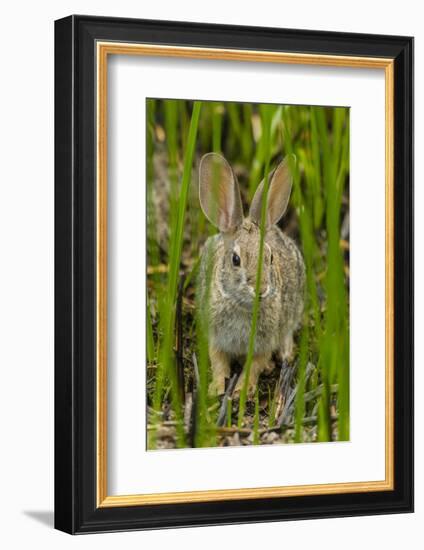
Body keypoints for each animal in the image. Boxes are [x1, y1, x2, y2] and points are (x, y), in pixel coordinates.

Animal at [195, 153, 304, 398]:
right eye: (236, 260)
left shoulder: (264, 342)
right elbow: (218, 362)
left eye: (270, 258)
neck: (242, 304)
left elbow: (255, 365)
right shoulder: (216, 337)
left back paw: (285, 355)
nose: (261, 289)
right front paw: (216, 388)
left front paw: (242, 391)